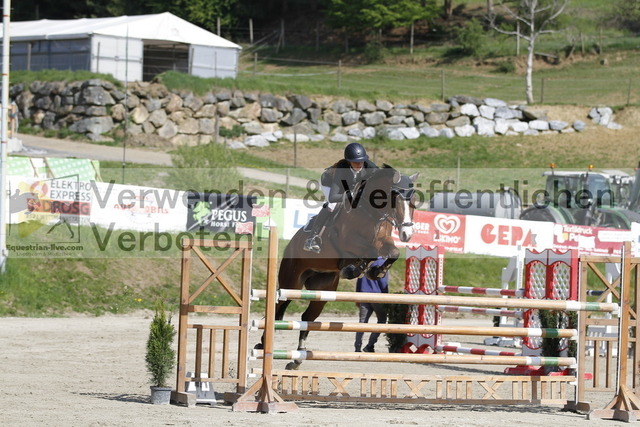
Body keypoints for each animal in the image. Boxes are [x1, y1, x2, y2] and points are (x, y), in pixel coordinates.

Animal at [265, 165, 418, 369]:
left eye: (414, 202)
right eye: (396, 200)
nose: (406, 235)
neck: (371, 213)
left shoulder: (383, 242)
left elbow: (392, 253)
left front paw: (375, 271)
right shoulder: (349, 242)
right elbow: (369, 251)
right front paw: (355, 269)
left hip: (323, 289)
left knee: (307, 317)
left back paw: (297, 359)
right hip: (291, 282)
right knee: (278, 308)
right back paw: (262, 345)